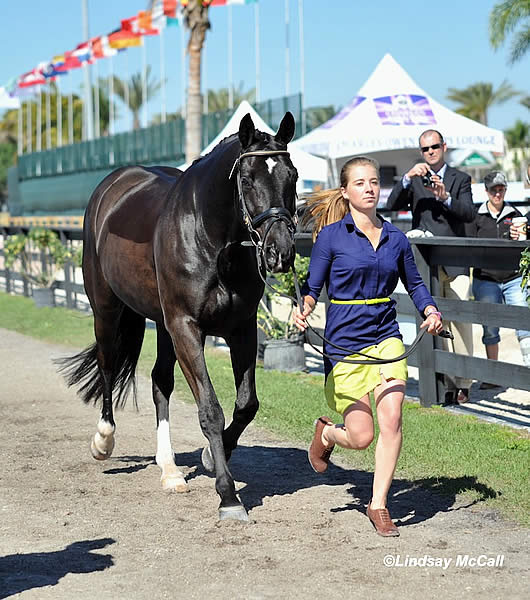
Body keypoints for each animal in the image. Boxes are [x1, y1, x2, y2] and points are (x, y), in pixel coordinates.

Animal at [58, 111, 296, 520]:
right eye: (247, 180)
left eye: (292, 176)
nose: (279, 252)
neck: (211, 239)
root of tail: (112, 184)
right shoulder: (186, 327)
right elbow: (210, 410)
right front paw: (228, 497)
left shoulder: (241, 329)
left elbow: (246, 404)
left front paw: (211, 456)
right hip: (107, 310)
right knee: (107, 366)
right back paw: (103, 440)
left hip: (162, 324)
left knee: (160, 382)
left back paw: (169, 469)